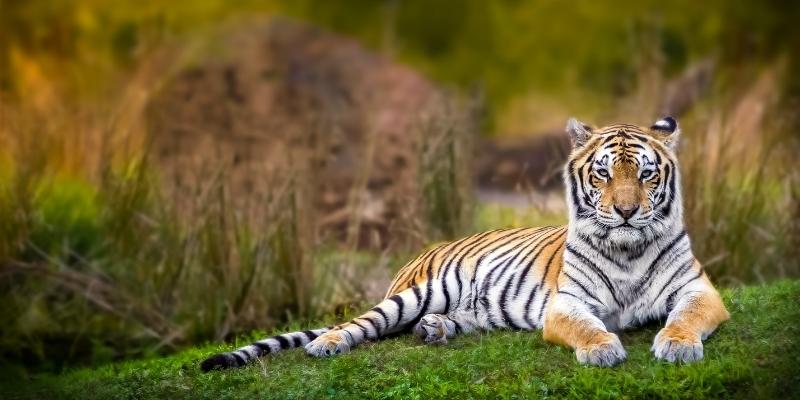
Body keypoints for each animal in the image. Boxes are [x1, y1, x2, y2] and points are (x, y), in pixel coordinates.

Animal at [201, 116, 729, 371]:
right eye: (603, 174)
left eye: (645, 174)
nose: (625, 211)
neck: (627, 249)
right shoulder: (568, 303)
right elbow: (585, 326)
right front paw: (602, 349)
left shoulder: (700, 290)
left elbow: (686, 317)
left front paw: (677, 346)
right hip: (417, 293)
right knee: (361, 323)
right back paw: (327, 344)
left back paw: (434, 330)